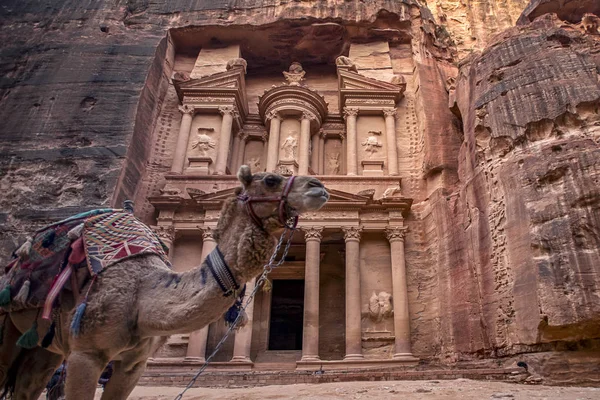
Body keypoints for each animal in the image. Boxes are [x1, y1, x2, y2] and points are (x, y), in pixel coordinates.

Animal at [0, 164, 328, 398]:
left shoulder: (132, 364)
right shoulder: (85, 356)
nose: (320, 187)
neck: (142, 296)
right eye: (271, 179)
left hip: (45, 348)